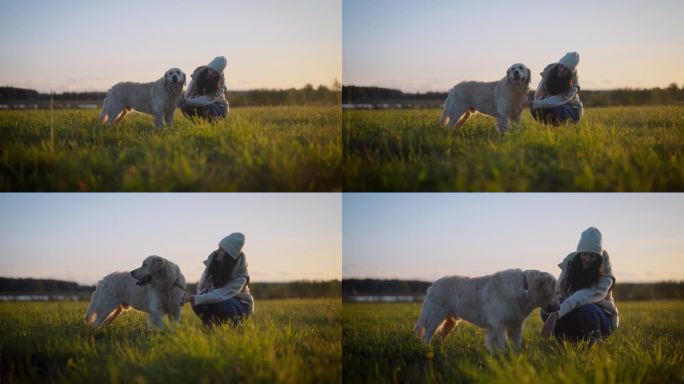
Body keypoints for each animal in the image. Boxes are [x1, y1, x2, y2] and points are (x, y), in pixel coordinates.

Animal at [416, 270, 556, 352]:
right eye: (555, 291)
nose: (558, 307)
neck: (524, 288)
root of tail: (432, 286)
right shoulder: (498, 324)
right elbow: (501, 345)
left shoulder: (516, 324)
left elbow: (517, 344)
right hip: (434, 318)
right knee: (427, 336)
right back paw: (427, 351)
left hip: (451, 321)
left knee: (441, 335)